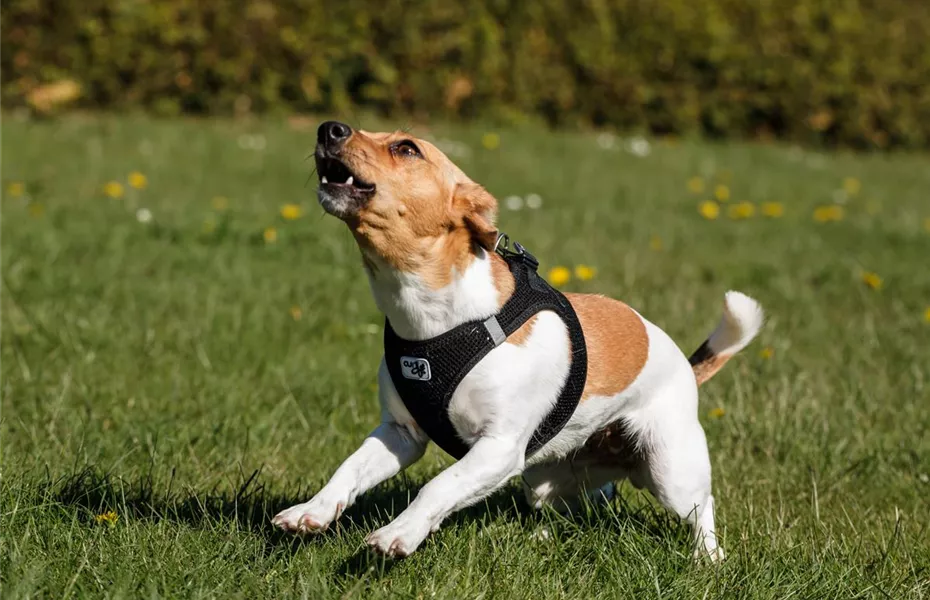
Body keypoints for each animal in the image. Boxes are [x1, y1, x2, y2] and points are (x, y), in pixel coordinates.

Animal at [270, 122, 760, 564]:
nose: (328, 127)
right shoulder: (400, 434)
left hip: (669, 468)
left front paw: (399, 533)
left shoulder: (499, 448)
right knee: (593, 495)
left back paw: (707, 558)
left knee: (700, 506)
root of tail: (686, 366)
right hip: (546, 480)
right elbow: (350, 468)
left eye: (406, 148)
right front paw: (311, 511)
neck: (432, 319)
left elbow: (438, 486)